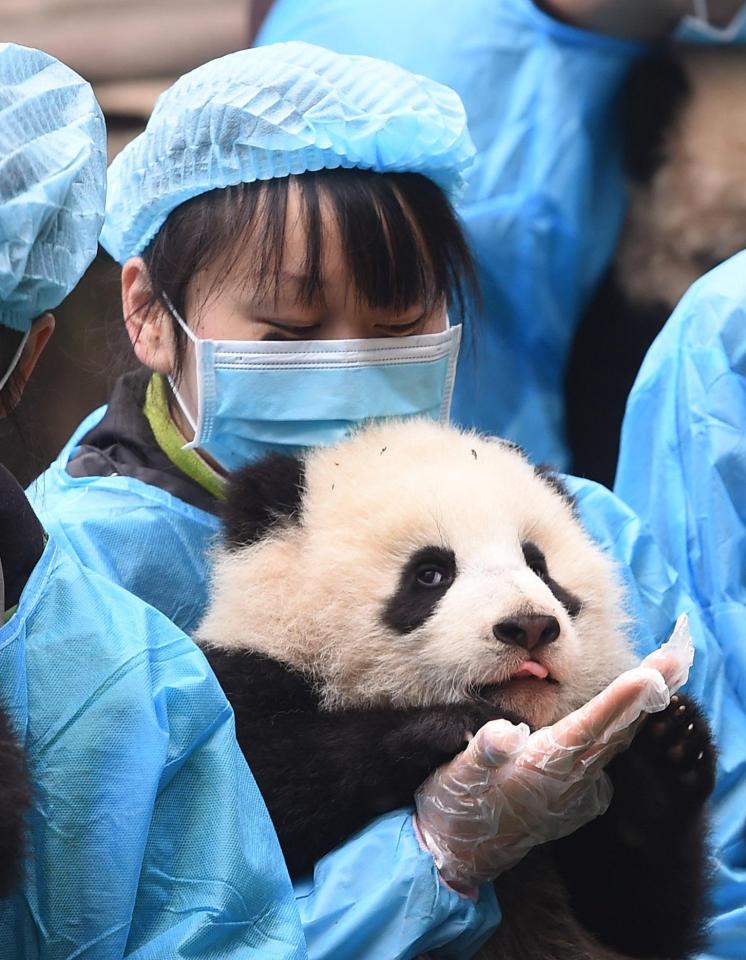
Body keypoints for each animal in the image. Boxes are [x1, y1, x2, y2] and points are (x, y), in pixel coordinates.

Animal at [195, 422, 712, 960]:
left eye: (538, 566)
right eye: (430, 573)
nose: (529, 626)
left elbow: (640, 916)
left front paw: (666, 750)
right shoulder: (250, 673)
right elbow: (259, 814)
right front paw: (447, 731)